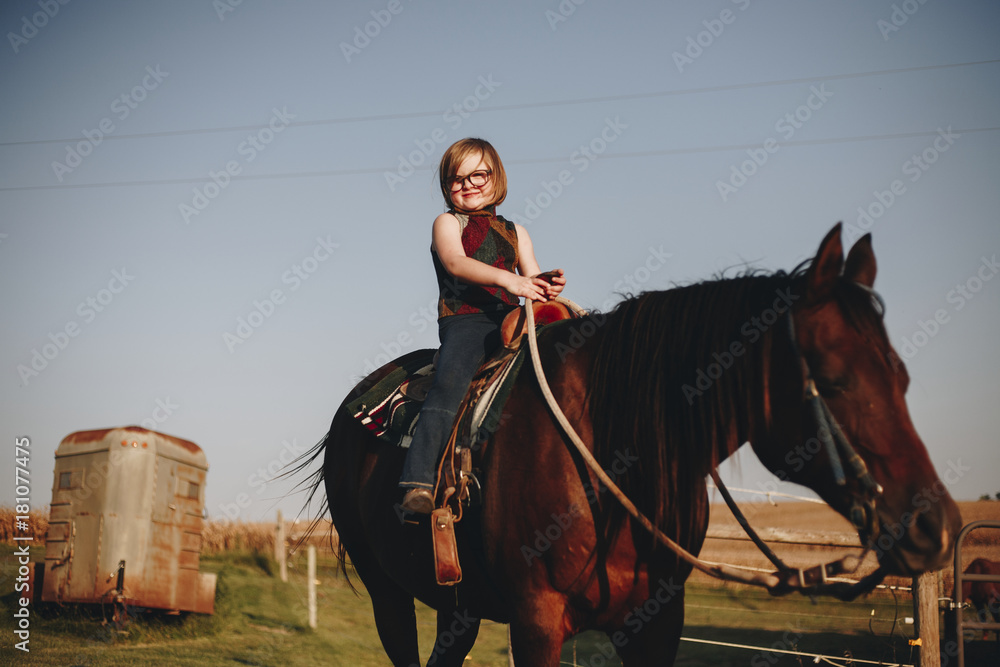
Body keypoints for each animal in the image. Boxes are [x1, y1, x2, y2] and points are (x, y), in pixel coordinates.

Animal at [310, 226, 960, 667]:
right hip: (388, 594)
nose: (938, 526)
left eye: (902, 376)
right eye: (836, 380)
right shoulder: (536, 619)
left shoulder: (656, 622)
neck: (612, 452)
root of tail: (354, 405)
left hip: (458, 605)